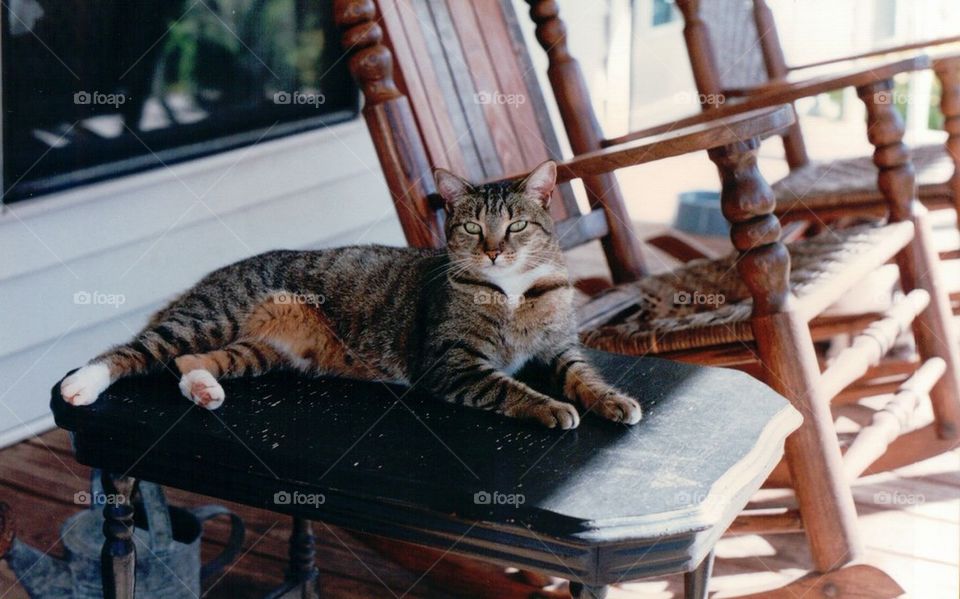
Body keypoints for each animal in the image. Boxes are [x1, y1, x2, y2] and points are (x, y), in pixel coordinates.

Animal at [62, 162, 644, 428]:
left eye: (518, 225)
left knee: (188, 363)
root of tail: (203, 280)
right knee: (131, 350)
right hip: (212, 315)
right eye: (473, 228)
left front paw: (613, 400)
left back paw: (205, 390)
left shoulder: (560, 348)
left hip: (258, 352)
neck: (514, 292)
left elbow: (585, 375)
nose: (496, 251)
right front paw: (551, 408)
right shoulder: (451, 364)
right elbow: (509, 388)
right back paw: (81, 384)